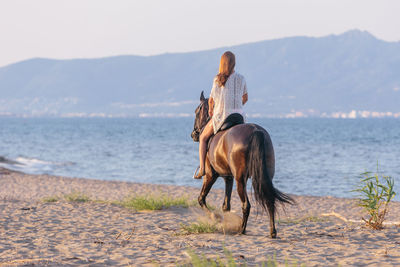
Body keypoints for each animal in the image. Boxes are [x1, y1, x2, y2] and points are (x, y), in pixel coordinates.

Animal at [191, 91, 294, 239]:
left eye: (196, 111)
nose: (193, 134)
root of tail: (256, 131)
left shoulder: (211, 175)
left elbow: (201, 199)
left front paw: (216, 217)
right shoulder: (228, 178)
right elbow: (226, 205)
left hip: (240, 179)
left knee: (246, 205)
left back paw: (242, 230)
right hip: (264, 176)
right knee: (269, 200)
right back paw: (272, 231)